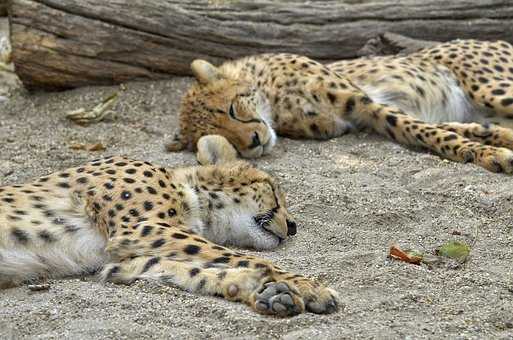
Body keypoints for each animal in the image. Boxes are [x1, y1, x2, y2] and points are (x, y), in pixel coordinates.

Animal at [1, 137, 340, 318]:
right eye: (273, 190)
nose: (293, 227)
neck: (187, 192)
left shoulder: (121, 261)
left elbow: (189, 271)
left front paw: (265, 291)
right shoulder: (142, 228)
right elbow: (249, 258)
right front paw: (307, 286)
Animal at [167, 38, 513, 174]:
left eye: (232, 110)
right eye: (224, 138)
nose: (253, 142)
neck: (273, 98)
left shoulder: (365, 103)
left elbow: (432, 131)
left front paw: (488, 152)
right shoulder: (359, 120)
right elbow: (439, 130)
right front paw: (487, 146)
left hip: (491, 89)